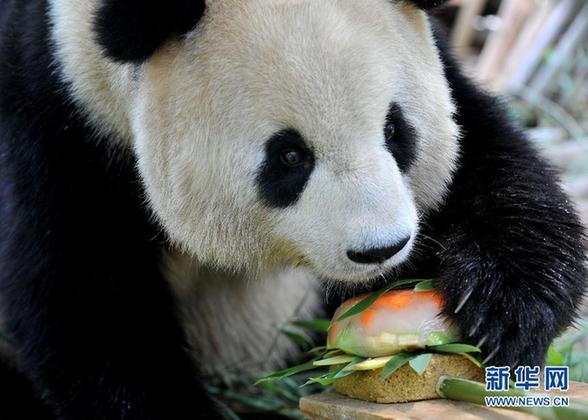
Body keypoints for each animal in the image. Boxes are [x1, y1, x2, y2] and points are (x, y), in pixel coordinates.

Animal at [0, 0, 584, 418]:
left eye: (395, 130)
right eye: (289, 156)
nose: (383, 249)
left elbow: (490, 162)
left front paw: (503, 310)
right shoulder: (53, 120)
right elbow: (85, 310)